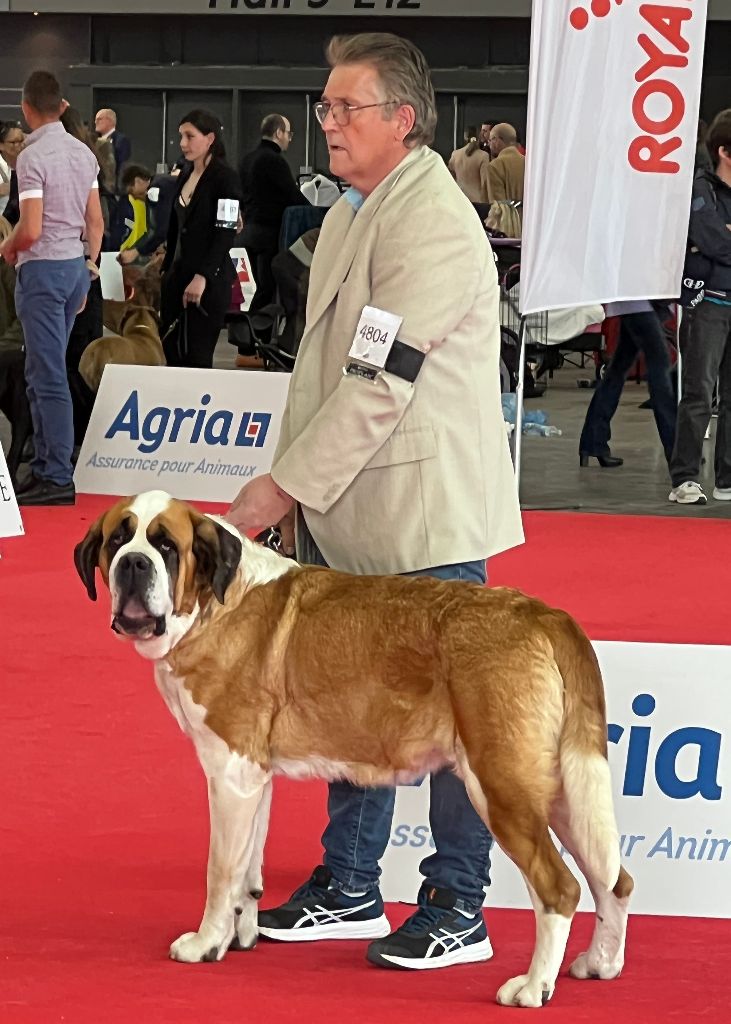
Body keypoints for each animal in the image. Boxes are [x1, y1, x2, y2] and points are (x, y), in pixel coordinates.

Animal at [74, 490, 633, 1009]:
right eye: (117, 540)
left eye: (166, 545)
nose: (134, 563)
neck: (214, 602)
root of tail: (542, 614)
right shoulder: (253, 778)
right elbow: (248, 871)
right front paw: (241, 935)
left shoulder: (229, 773)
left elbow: (221, 872)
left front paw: (206, 943)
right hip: (564, 792)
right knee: (614, 880)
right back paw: (599, 963)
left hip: (501, 786)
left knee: (560, 888)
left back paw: (534, 986)